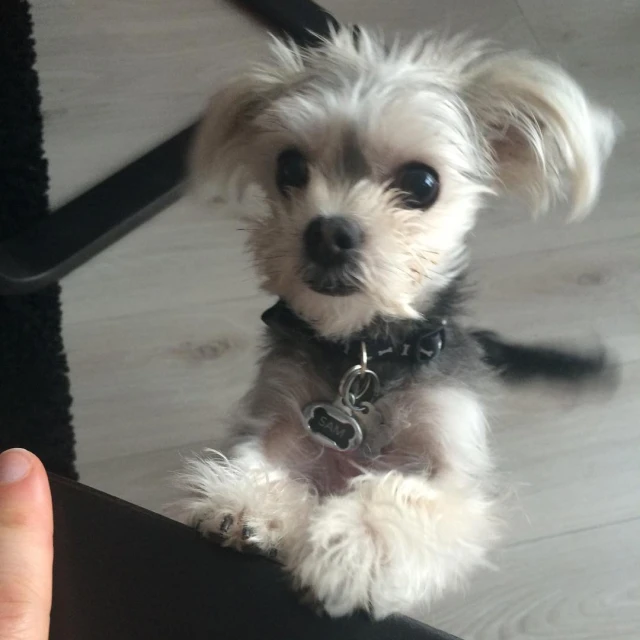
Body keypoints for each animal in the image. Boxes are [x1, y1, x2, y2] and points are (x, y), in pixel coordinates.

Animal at [174, 26, 616, 620]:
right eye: (289, 168)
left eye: (422, 182)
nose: (328, 233)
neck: (367, 353)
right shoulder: (277, 412)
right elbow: (259, 458)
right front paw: (247, 501)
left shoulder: (451, 474)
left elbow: (398, 501)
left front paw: (351, 549)